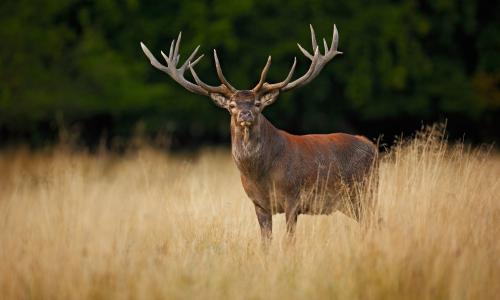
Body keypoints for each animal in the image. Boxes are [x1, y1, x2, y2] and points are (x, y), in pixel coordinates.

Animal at [140, 24, 376, 245]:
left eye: (257, 104)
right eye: (232, 105)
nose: (245, 114)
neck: (260, 175)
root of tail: (371, 145)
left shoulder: (293, 197)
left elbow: (289, 241)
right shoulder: (258, 204)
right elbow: (265, 242)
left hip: (363, 192)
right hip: (350, 201)